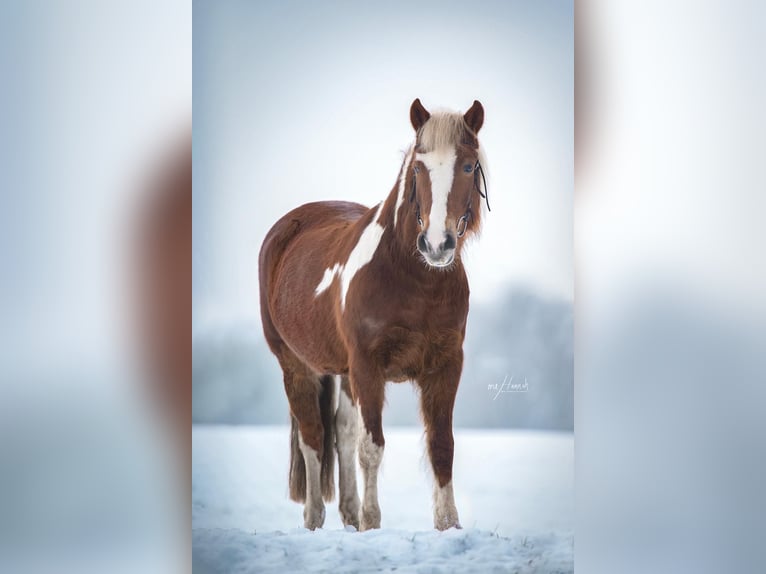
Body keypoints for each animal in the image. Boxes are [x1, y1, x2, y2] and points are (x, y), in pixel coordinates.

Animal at [258, 98, 486, 532]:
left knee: (341, 433)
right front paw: (372, 522)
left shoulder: (446, 365)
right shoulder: (368, 366)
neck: (414, 278)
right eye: (418, 167)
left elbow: (441, 445)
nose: (437, 244)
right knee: (312, 436)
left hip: (345, 375)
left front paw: (449, 526)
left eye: (468, 166)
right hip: (295, 365)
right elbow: (372, 447)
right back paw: (315, 519)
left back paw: (348, 516)